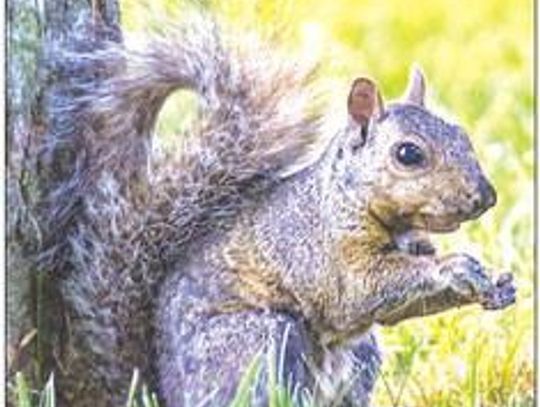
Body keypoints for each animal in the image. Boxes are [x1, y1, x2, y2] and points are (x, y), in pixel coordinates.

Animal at [24, 7, 516, 407]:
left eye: (461, 134)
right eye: (408, 154)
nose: (485, 196)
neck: (346, 199)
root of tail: (164, 391)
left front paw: (497, 286)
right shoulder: (319, 252)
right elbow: (360, 291)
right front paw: (455, 268)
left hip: (355, 355)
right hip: (261, 341)